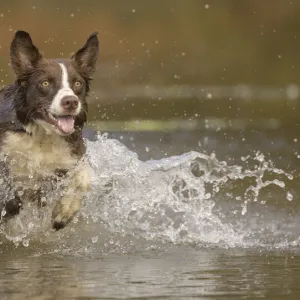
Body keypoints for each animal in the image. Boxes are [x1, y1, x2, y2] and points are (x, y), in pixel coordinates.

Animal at [0, 30, 99, 230]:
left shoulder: (71, 154)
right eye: (45, 83)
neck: (42, 136)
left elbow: (84, 176)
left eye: (77, 84)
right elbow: (11, 196)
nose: (71, 102)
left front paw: (64, 211)